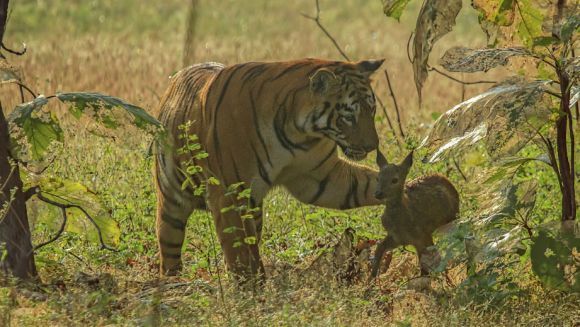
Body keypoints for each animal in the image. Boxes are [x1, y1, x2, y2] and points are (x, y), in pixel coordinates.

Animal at [155, 57, 386, 280]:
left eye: (372, 110)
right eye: (348, 117)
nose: (372, 146)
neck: (300, 133)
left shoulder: (322, 178)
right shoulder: (229, 195)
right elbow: (240, 254)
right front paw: (251, 289)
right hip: (172, 202)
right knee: (169, 246)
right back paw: (171, 282)